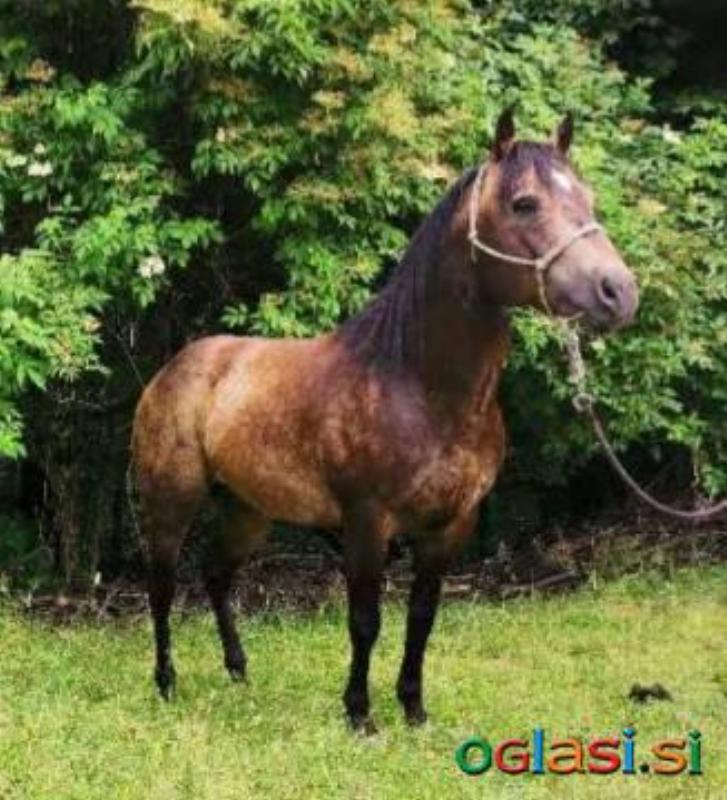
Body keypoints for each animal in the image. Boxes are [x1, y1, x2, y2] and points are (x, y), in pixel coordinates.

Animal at [132, 109, 638, 733]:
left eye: (588, 198)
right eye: (524, 203)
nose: (618, 292)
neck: (417, 384)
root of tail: (177, 366)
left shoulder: (451, 525)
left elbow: (421, 617)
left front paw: (414, 709)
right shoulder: (367, 522)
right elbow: (366, 620)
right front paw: (360, 715)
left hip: (249, 507)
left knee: (216, 574)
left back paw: (238, 671)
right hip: (170, 501)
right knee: (162, 586)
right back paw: (166, 682)